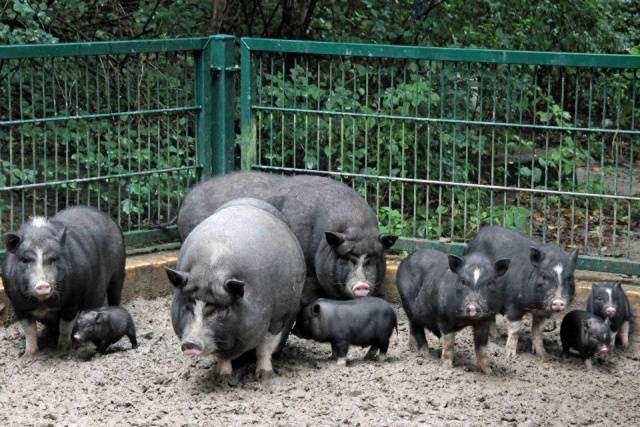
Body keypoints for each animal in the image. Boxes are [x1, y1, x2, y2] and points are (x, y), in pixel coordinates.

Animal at [1, 207, 125, 354]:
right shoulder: (18, 305)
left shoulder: (73, 301)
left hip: (119, 271)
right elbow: (29, 330)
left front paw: (62, 349)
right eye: (25, 260)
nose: (42, 284)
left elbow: (65, 326)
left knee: (115, 295)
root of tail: (109, 218)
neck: (43, 304)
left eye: (53, 259)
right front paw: (29, 354)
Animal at [166, 197, 306, 378]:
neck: (210, 270)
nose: (190, 343)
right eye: (188, 306)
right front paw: (223, 377)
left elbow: (265, 347)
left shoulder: (278, 318)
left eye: (219, 310)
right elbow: (222, 356)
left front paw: (265, 376)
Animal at [462, 226, 576, 360]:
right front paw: (510, 356)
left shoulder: (542, 313)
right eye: (544, 276)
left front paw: (543, 355)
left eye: (569, 278)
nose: (558, 302)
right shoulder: (513, 304)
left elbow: (538, 331)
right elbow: (515, 330)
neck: (535, 305)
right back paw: (498, 339)